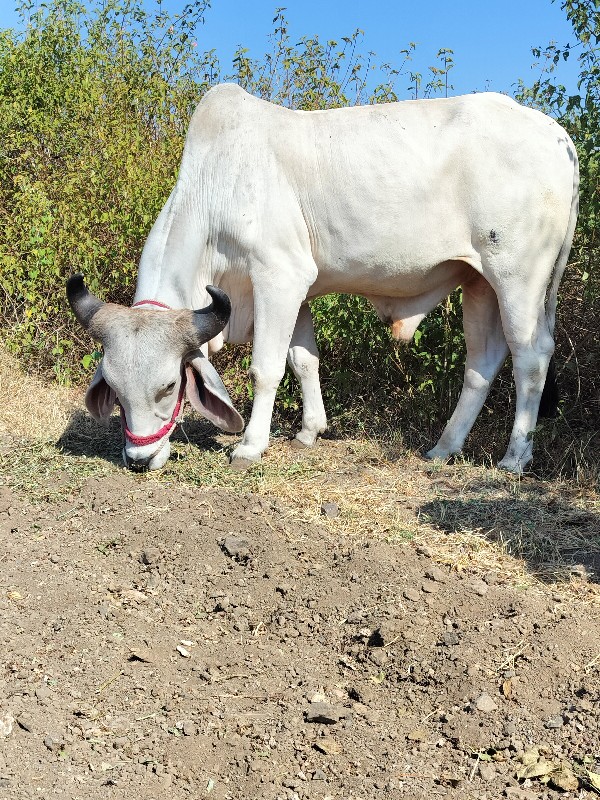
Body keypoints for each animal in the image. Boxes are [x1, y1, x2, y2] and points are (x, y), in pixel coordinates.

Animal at [68, 84, 580, 472]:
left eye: (169, 387)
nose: (139, 459)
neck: (216, 183)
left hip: (518, 277)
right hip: (478, 282)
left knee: (530, 357)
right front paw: (309, 430)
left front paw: (250, 445)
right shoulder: (297, 289)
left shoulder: (278, 275)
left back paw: (515, 457)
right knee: (483, 362)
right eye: (115, 393)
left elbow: (267, 367)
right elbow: (303, 361)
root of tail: (556, 134)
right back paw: (444, 448)